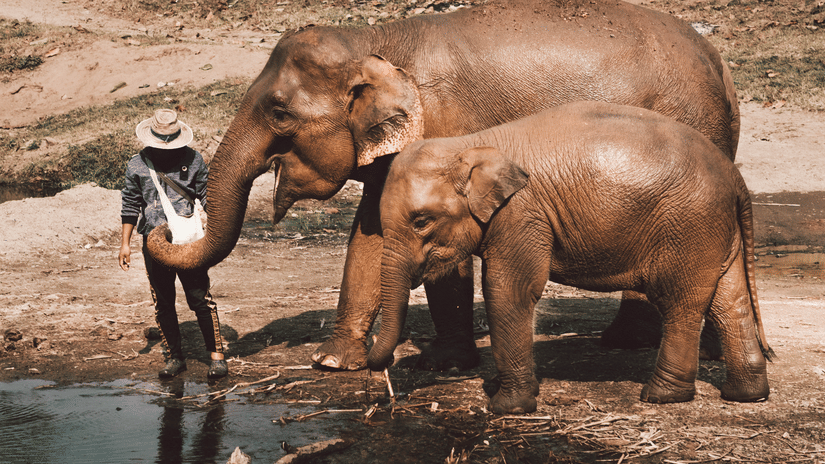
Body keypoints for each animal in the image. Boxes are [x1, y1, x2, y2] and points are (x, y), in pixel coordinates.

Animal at [146, 0, 741, 372]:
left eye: (278, 111)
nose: (159, 229)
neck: (376, 42)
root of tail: (721, 63)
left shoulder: (446, 128)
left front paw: (446, 363)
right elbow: (369, 236)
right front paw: (332, 362)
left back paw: (629, 343)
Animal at [368, 101, 773, 414]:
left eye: (421, 221)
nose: (384, 375)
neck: (472, 145)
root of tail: (735, 177)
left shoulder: (522, 214)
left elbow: (509, 290)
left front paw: (507, 407)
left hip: (688, 225)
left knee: (680, 302)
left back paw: (661, 396)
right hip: (713, 229)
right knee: (729, 299)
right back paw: (746, 395)